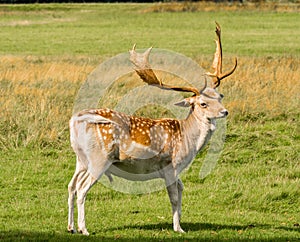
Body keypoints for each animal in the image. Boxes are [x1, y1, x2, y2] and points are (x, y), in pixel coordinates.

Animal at [67, 22, 237, 234]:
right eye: (202, 104)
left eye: (219, 96)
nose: (224, 112)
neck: (187, 140)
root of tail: (75, 120)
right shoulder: (170, 165)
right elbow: (174, 197)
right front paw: (178, 228)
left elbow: (181, 190)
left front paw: (180, 223)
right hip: (99, 158)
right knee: (82, 189)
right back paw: (84, 229)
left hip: (80, 159)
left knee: (71, 186)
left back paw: (71, 227)